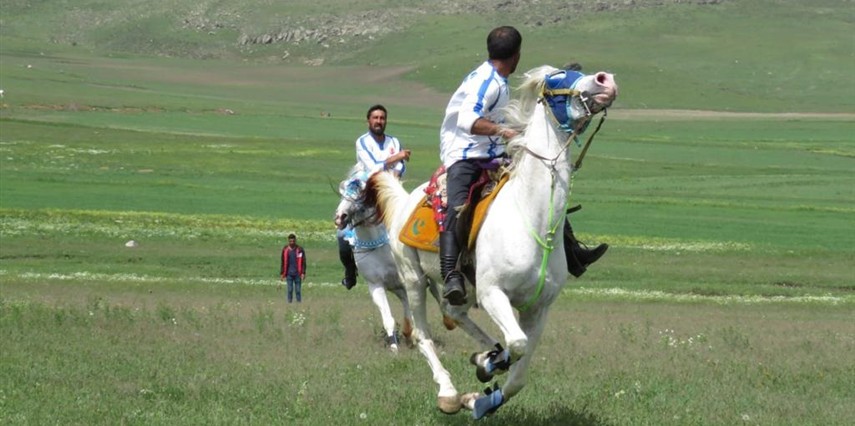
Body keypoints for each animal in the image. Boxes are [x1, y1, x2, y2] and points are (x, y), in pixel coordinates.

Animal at [360, 67, 616, 420]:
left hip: (464, 289)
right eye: (557, 79)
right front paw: (486, 369)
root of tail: (405, 202)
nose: (606, 80)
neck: (531, 218)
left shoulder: (538, 307)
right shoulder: (493, 292)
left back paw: (480, 360)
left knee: (454, 312)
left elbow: (519, 369)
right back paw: (449, 393)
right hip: (414, 279)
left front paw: (480, 398)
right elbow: (517, 344)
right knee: (424, 335)